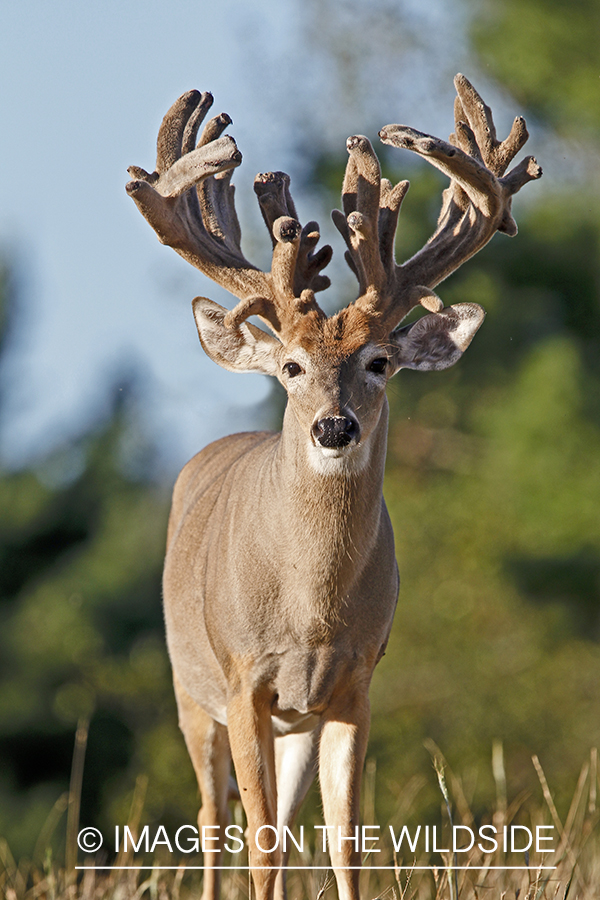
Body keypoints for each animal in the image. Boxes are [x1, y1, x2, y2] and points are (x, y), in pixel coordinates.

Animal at [125, 72, 540, 900]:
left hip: (296, 720)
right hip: (191, 687)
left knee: (281, 820)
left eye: (379, 362)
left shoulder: (353, 683)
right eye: (290, 365)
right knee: (215, 821)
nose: (334, 427)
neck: (310, 610)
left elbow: (345, 840)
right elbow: (256, 842)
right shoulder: (243, 677)